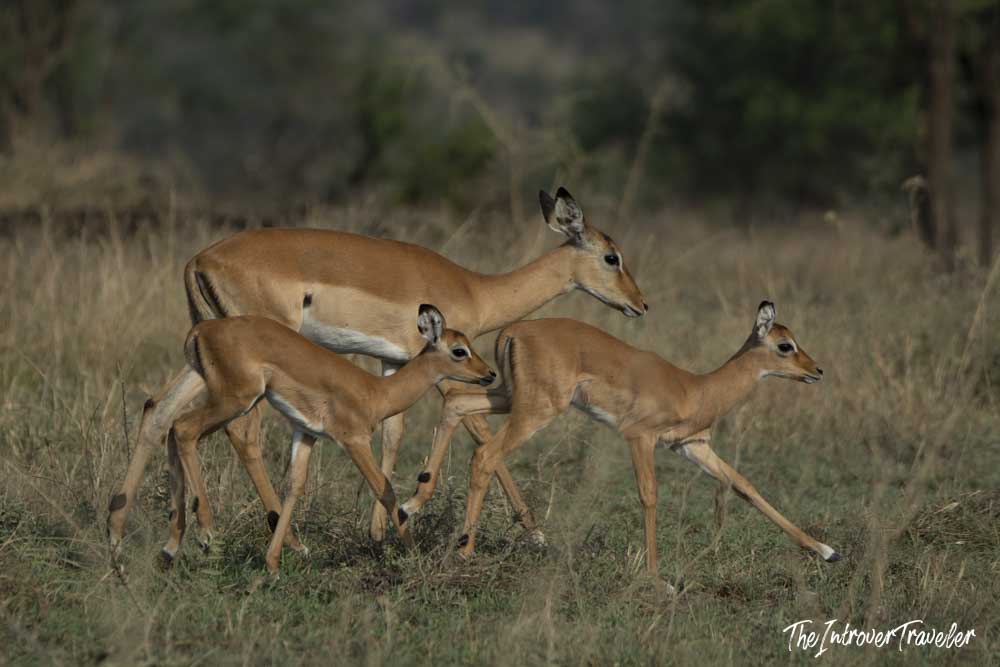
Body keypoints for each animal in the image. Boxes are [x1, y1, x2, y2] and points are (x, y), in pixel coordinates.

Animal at [160, 305, 494, 572]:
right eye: (459, 350)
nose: (489, 374)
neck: (376, 392)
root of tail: (202, 330)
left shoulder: (307, 432)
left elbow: (294, 486)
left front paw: (272, 563)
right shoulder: (354, 440)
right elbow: (385, 489)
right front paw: (414, 554)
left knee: (170, 427)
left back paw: (171, 547)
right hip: (234, 401)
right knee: (184, 429)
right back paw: (205, 533)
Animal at [406, 302, 839, 583]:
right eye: (785, 345)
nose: (817, 370)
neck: (696, 389)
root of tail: (514, 332)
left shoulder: (692, 445)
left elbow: (744, 485)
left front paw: (825, 551)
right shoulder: (640, 437)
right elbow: (649, 495)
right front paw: (656, 578)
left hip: (508, 396)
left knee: (456, 403)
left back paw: (413, 504)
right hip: (537, 410)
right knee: (485, 454)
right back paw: (463, 551)